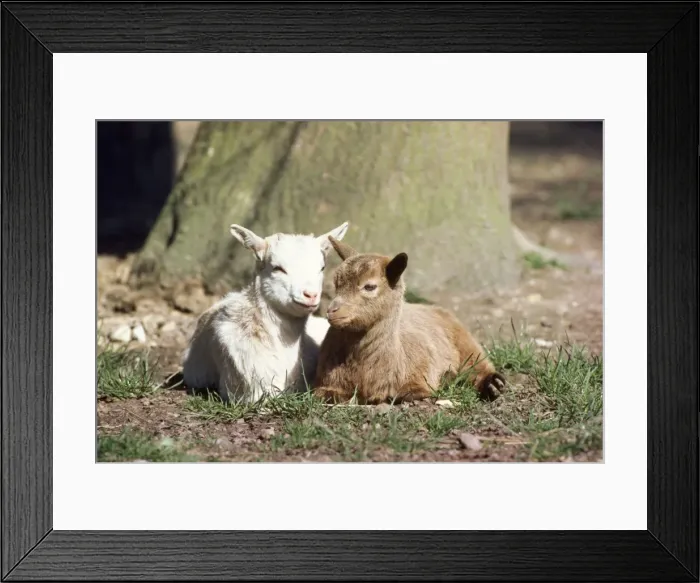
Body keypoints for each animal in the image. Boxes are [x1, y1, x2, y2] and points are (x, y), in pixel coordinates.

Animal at [313, 237, 506, 404]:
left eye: (370, 286)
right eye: (336, 284)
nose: (332, 311)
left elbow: (407, 393)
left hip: (464, 340)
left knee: (478, 363)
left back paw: (493, 384)